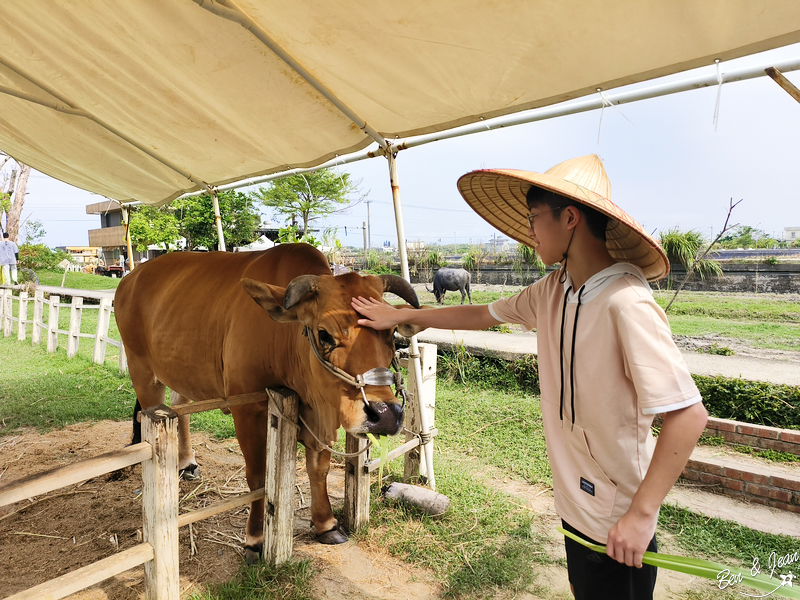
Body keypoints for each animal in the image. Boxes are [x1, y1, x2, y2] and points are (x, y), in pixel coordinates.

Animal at [115, 241, 422, 560]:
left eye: (392, 333)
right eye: (324, 334)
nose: (385, 414)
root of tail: (131, 278)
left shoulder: (319, 418)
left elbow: (319, 468)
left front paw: (326, 524)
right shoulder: (247, 410)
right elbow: (258, 477)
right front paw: (255, 538)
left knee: (182, 408)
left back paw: (187, 463)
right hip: (142, 372)